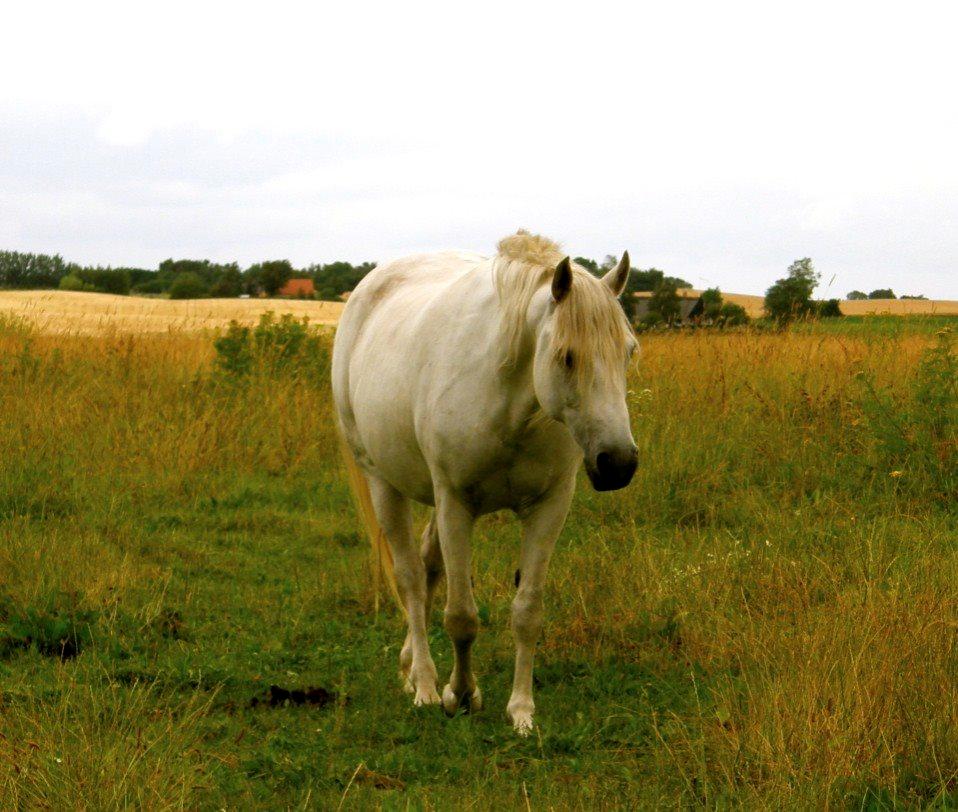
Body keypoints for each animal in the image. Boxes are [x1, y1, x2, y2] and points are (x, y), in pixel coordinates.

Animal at [334, 230, 640, 736]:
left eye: (629, 351)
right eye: (566, 356)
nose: (618, 463)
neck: (511, 400)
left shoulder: (549, 507)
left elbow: (527, 613)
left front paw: (521, 711)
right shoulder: (455, 503)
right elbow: (461, 616)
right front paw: (459, 694)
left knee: (428, 567)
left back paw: (410, 666)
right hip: (383, 482)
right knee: (411, 577)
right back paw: (423, 683)